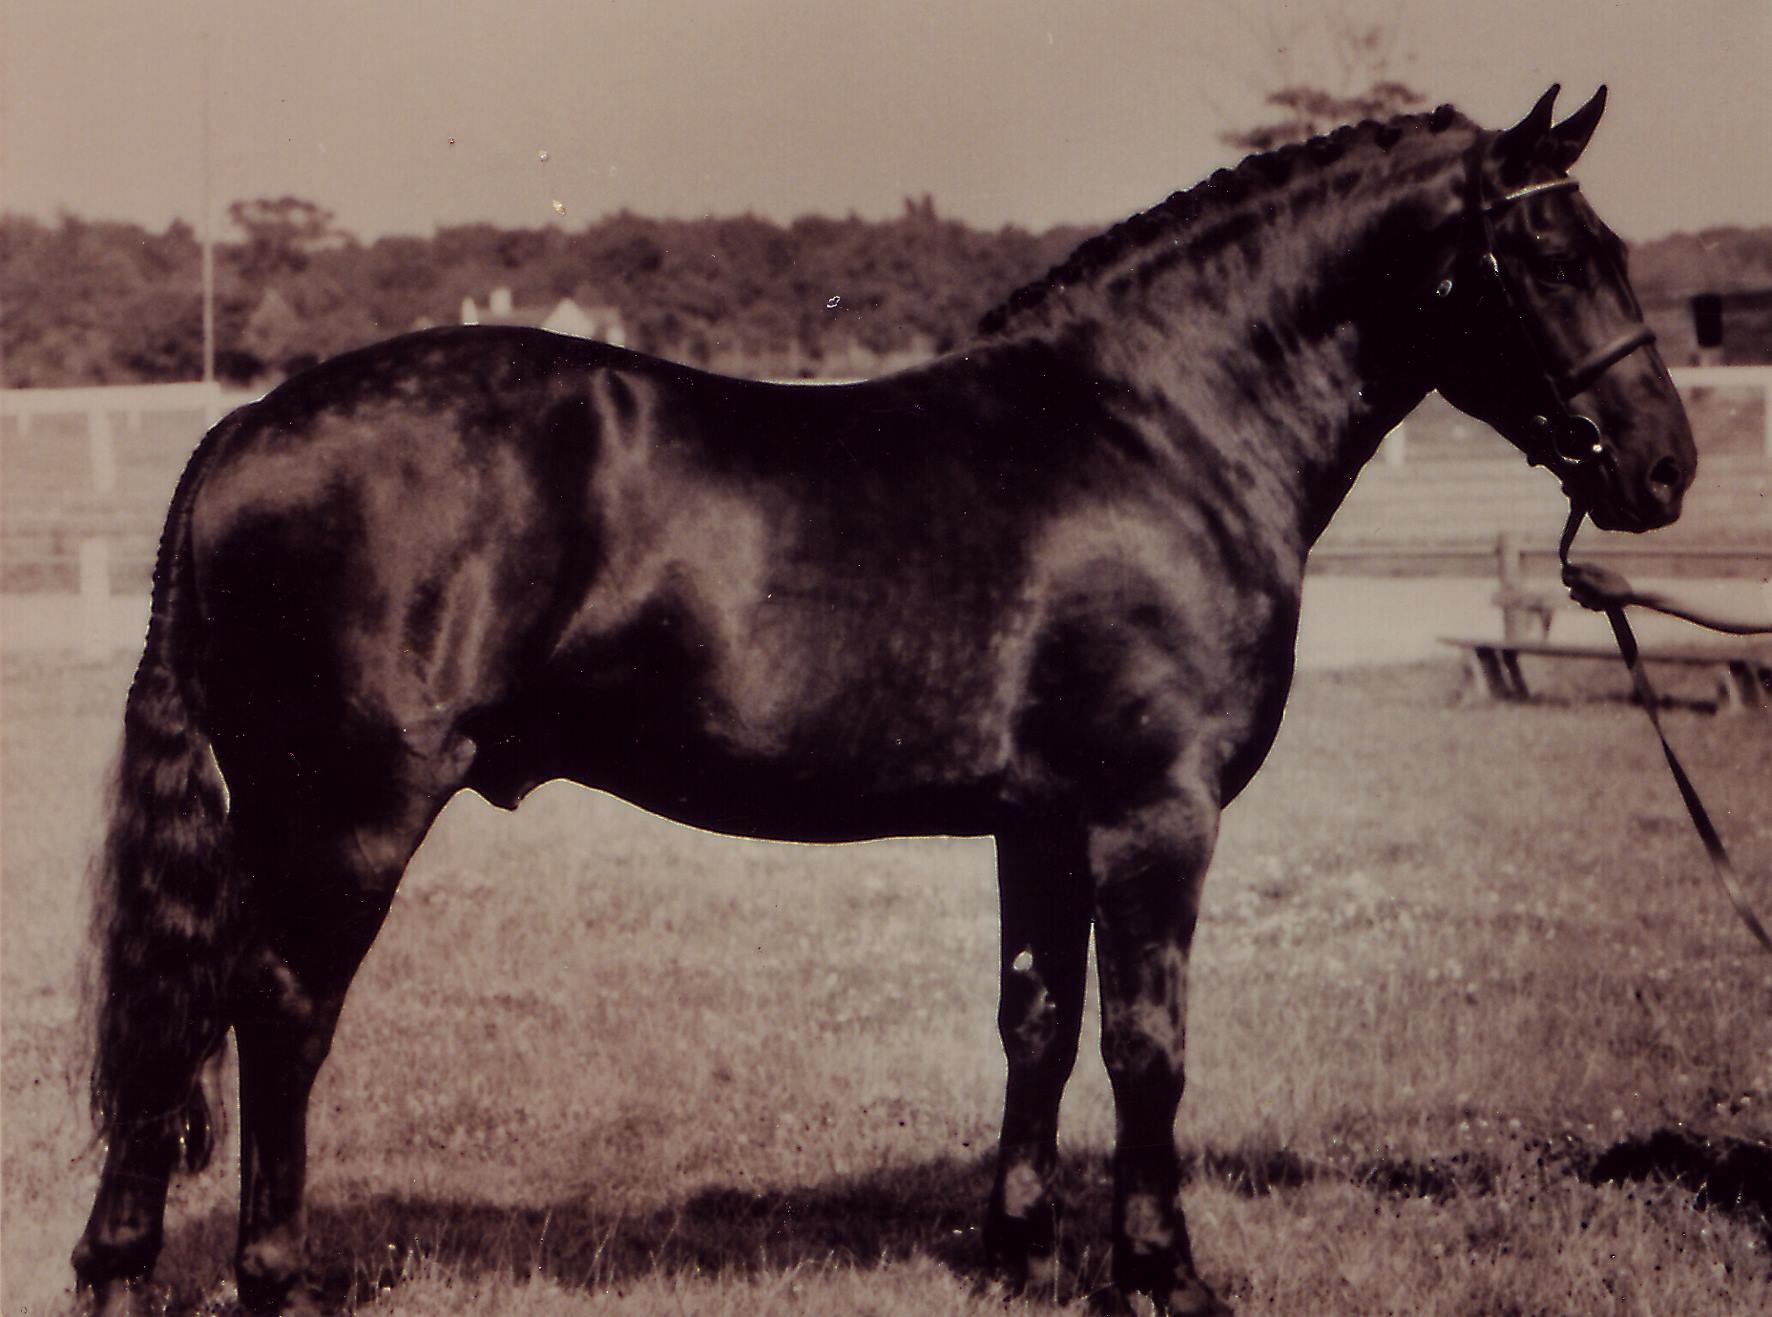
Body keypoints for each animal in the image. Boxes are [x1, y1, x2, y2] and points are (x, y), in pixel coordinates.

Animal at [76, 87, 1694, 1311]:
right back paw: (273, 1278)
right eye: (1549, 252)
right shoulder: (1152, 816)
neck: (1160, 431)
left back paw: (118, 1265)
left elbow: (1039, 1021)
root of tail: (242, 427)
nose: (1661, 464)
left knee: (182, 1010)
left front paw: (1021, 1254)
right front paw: (1162, 1274)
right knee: (279, 1013)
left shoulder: (1042, 822)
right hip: (350, 813)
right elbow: (1147, 1045)